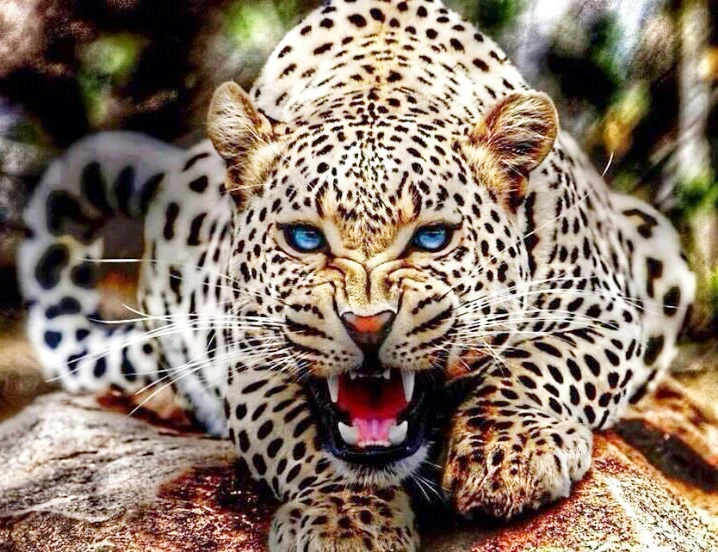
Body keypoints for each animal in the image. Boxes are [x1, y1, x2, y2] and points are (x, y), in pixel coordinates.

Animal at [18, 0, 695, 550]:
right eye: (304, 238)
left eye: (431, 238)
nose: (367, 326)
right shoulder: (245, 354)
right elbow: (299, 435)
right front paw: (343, 518)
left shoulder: (608, 309)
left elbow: (540, 365)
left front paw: (509, 458)